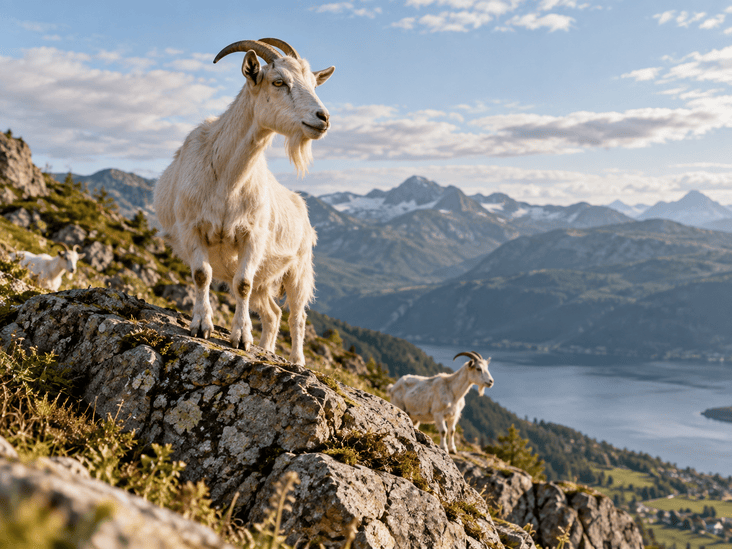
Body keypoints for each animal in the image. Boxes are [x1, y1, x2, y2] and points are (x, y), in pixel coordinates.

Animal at [154, 38, 334, 365]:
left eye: (314, 84)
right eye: (279, 82)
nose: (323, 118)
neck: (226, 179)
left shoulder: (253, 236)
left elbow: (242, 284)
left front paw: (241, 338)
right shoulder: (191, 228)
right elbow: (202, 275)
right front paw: (202, 326)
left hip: (300, 267)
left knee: (297, 315)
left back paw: (297, 361)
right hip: (271, 277)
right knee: (273, 314)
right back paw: (268, 350)